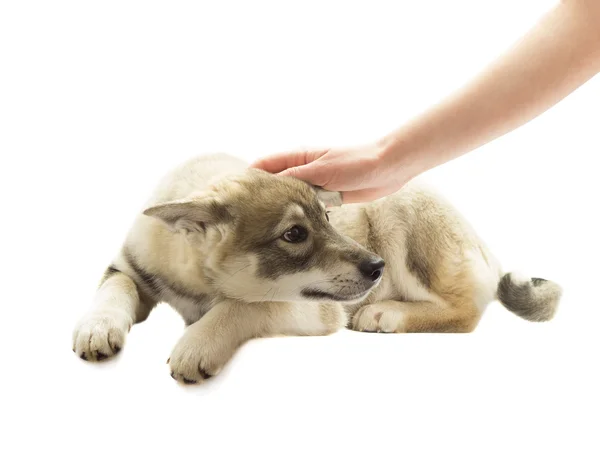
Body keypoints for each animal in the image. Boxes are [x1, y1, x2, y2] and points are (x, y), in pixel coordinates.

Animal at [74, 154, 564, 384]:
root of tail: (483, 246)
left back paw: (386, 313)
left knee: (466, 311)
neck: (197, 282)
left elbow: (240, 306)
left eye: (327, 218)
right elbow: (114, 290)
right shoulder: (128, 268)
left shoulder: (312, 310)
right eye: (294, 234)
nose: (376, 267)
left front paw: (198, 342)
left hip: (402, 214)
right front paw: (97, 327)